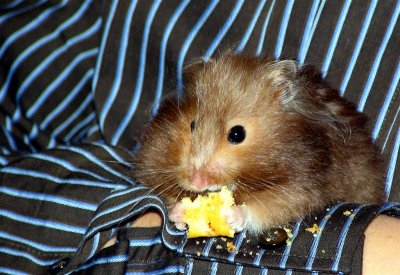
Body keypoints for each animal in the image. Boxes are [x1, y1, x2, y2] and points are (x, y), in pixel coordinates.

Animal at [134, 52, 384, 236]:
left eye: (237, 134)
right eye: (192, 125)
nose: (197, 182)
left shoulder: (307, 181)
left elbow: (273, 205)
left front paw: (231, 216)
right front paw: (180, 212)